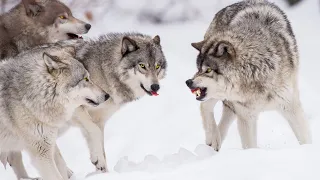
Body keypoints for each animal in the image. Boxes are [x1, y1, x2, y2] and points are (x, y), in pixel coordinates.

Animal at [0, 45, 109, 180]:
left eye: (88, 77)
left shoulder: (48, 140)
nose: (107, 95)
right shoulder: (41, 154)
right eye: (85, 79)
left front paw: (99, 161)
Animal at [185, 0, 312, 151]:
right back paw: (213, 139)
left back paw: (215, 142)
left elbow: (305, 139)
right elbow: (250, 146)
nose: (188, 82)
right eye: (199, 68)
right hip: (222, 98)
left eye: (208, 70)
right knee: (205, 106)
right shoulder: (246, 116)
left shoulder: (291, 107)